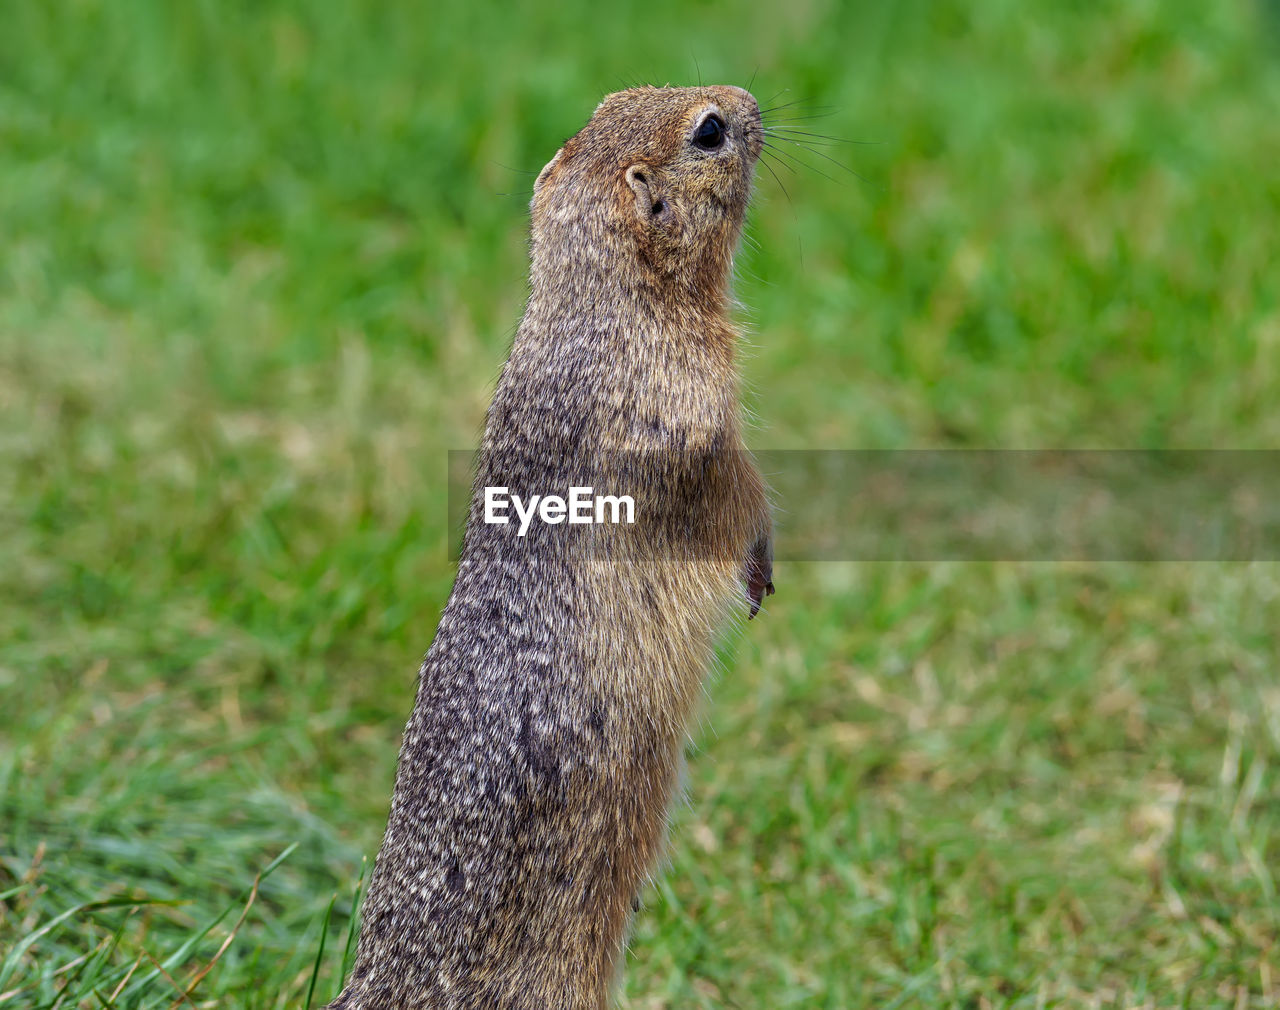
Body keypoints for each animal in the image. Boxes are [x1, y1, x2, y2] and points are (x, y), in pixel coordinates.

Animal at [325, 86, 773, 1008]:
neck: (594, 302)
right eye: (710, 130)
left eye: (611, 99)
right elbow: (736, 498)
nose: (750, 101)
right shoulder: (694, 417)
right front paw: (761, 565)